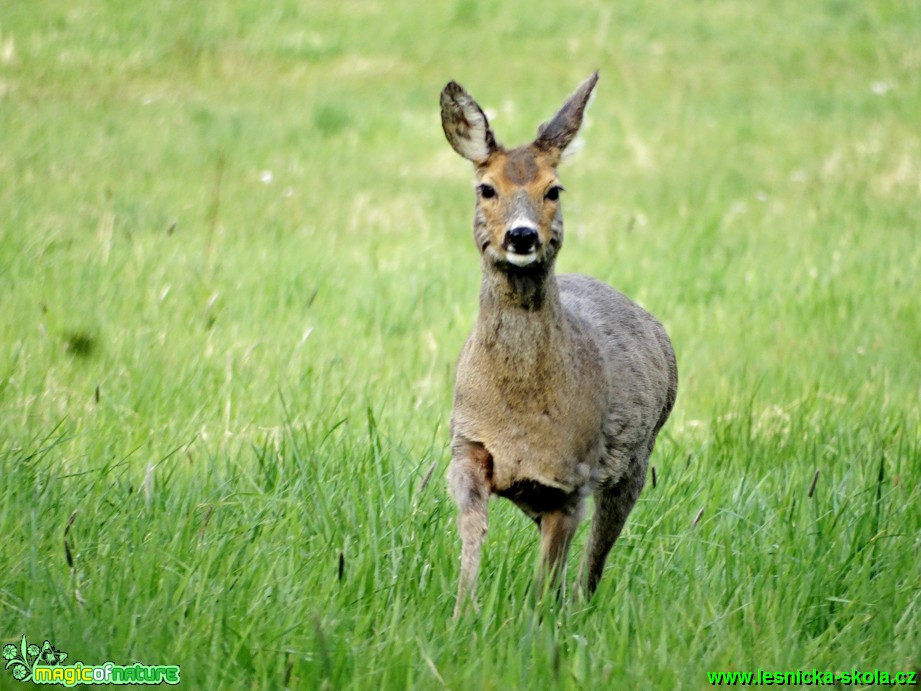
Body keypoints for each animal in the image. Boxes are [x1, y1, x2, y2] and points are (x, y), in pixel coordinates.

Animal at [438, 73, 676, 620]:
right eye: (486, 188)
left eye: (554, 189)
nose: (522, 236)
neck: (520, 418)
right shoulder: (467, 448)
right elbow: (472, 535)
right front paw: (462, 614)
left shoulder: (571, 479)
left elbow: (549, 576)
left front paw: (538, 623)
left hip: (636, 458)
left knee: (596, 555)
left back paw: (581, 607)